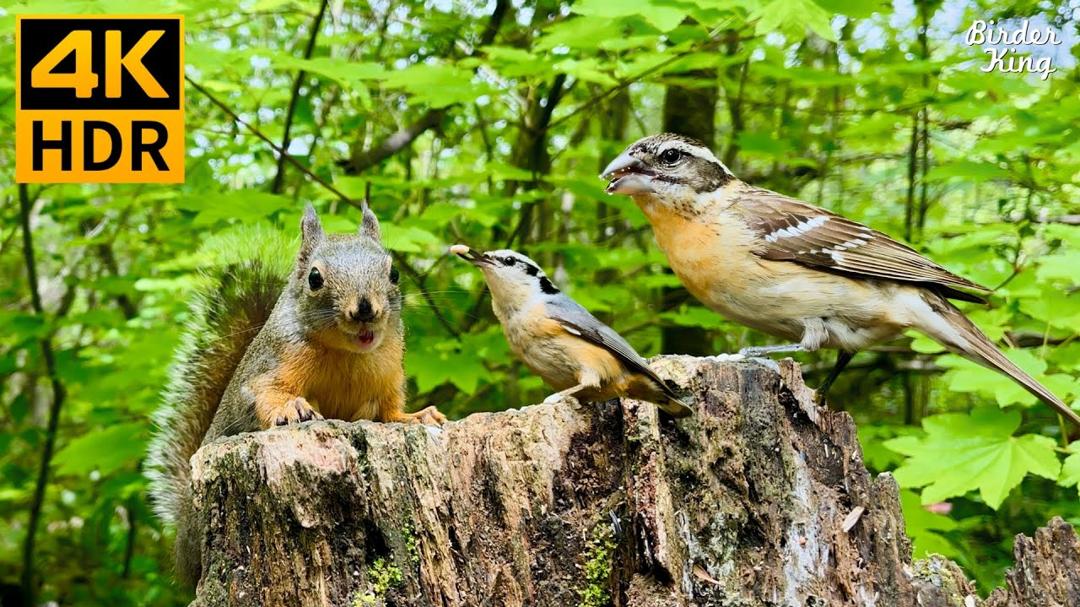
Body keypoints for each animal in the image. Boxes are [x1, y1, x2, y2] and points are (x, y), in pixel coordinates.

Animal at [146, 203, 445, 588]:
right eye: (315, 278)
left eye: (393, 272)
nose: (365, 308)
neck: (347, 354)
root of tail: (183, 544)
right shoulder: (268, 368)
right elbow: (263, 395)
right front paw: (292, 409)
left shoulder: (389, 378)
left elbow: (390, 412)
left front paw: (417, 416)